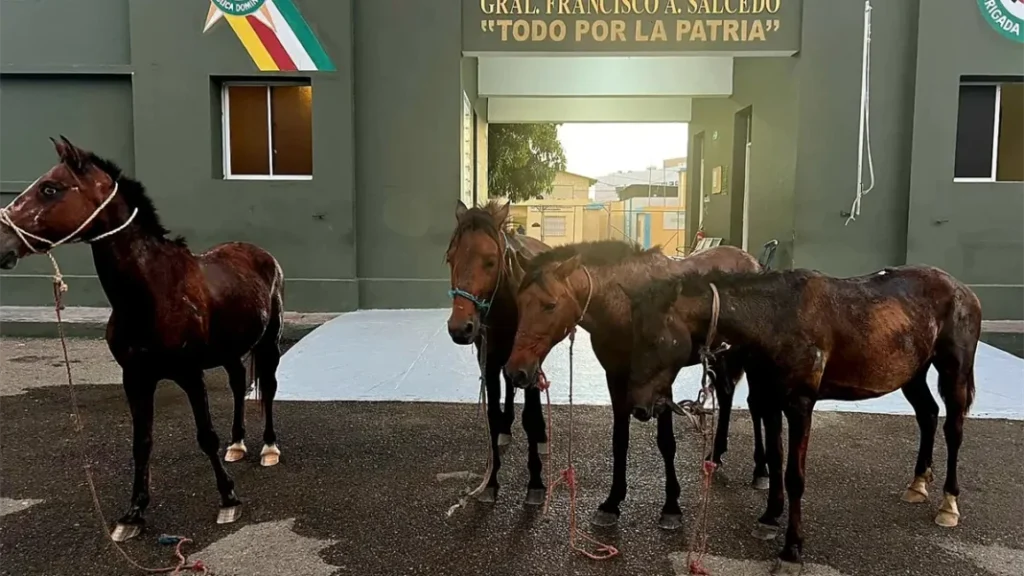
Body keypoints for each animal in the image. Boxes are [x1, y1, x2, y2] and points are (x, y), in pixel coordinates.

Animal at [0, 136, 284, 542]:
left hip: (268, 342)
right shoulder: (135, 377)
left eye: (50, 188)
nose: (2, 243)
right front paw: (133, 514)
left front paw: (228, 499)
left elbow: (205, 435)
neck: (153, 292)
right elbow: (141, 443)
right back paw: (237, 444)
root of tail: (260, 253)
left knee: (269, 387)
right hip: (229, 351)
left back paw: (269, 448)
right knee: (236, 384)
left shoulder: (189, 374)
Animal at [445, 199, 552, 504]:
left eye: (491, 260)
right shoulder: (490, 363)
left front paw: (536, 483)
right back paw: (506, 428)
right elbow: (491, 416)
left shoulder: (529, 363)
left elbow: (530, 417)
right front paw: (490, 482)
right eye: (450, 258)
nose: (460, 328)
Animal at [503, 240, 768, 530]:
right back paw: (716, 455)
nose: (515, 371)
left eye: (550, 305)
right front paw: (612, 502)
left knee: (757, 406)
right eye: (519, 303)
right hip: (719, 357)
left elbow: (666, 443)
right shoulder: (616, 377)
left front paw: (671, 507)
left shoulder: (662, 383)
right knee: (726, 393)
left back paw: (761, 470)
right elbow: (620, 439)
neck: (623, 308)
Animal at [624, 265, 980, 575]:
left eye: (657, 339)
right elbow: (775, 457)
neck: (774, 319)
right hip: (913, 372)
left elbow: (794, 476)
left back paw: (948, 504)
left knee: (953, 429)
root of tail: (964, 290)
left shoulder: (799, 406)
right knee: (927, 414)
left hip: (954, 372)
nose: (639, 407)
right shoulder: (769, 402)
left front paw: (792, 548)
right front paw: (770, 516)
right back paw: (918, 483)